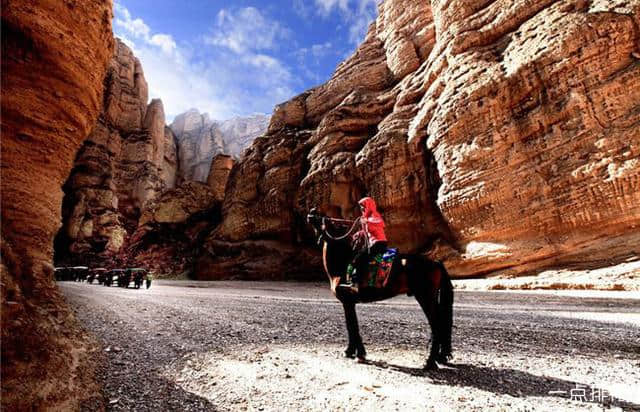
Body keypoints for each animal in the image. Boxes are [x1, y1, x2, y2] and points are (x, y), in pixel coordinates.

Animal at [306, 211, 452, 368]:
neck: (342, 264)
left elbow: (352, 326)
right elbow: (351, 325)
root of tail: (436, 263)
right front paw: (353, 352)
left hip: (425, 297)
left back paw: (430, 362)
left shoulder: (348, 301)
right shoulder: (348, 303)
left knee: (437, 325)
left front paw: (357, 353)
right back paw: (439, 357)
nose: (311, 212)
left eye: (325, 218)